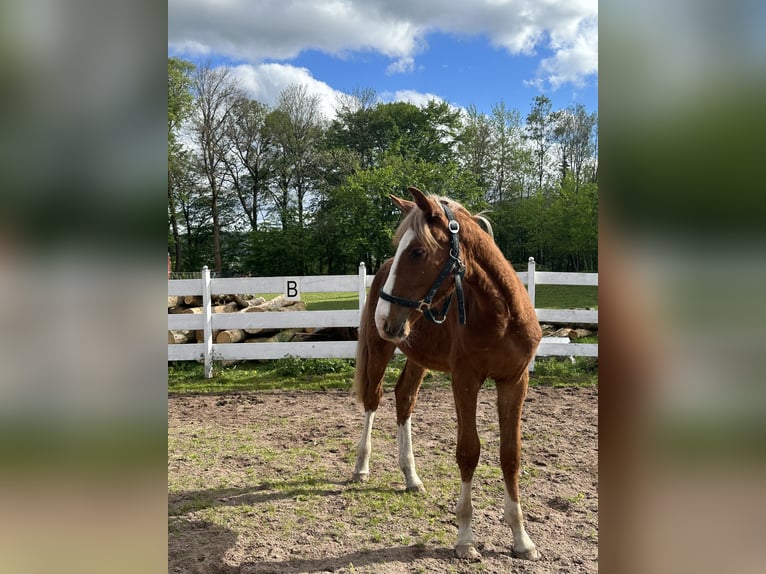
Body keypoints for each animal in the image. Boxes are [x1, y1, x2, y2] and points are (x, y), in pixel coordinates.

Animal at [352, 188, 544, 564]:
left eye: (418, 251)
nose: (383, 316)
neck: (501, 316)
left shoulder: (515, 381)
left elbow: (510, 455)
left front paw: (522, 539)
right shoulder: (465, 380)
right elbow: (468, 452)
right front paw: (466, 539)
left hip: (416, 353)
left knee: (404, 399)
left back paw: (411, 477)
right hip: (381, 348)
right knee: (373, 399)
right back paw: (361, 467)